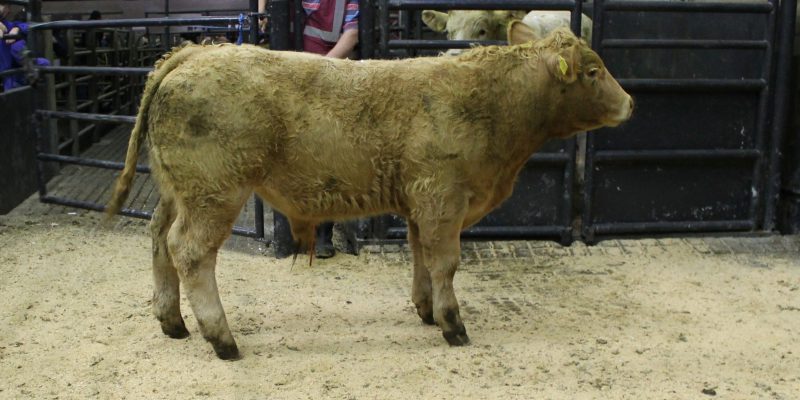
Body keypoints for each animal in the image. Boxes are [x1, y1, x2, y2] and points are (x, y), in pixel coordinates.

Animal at [106, 24, 633, 360]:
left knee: (158, 239)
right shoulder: (443, 199)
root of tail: (198, 51)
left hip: (177, 191)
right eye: (592, 71)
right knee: (189, 251)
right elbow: (446, 263)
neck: (492, 103)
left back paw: (173, 322)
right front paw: (453, 324)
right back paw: (222, 339)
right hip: (215, 192)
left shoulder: (421, 206)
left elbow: (421, 258)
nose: (629, 102)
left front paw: (425, 310)